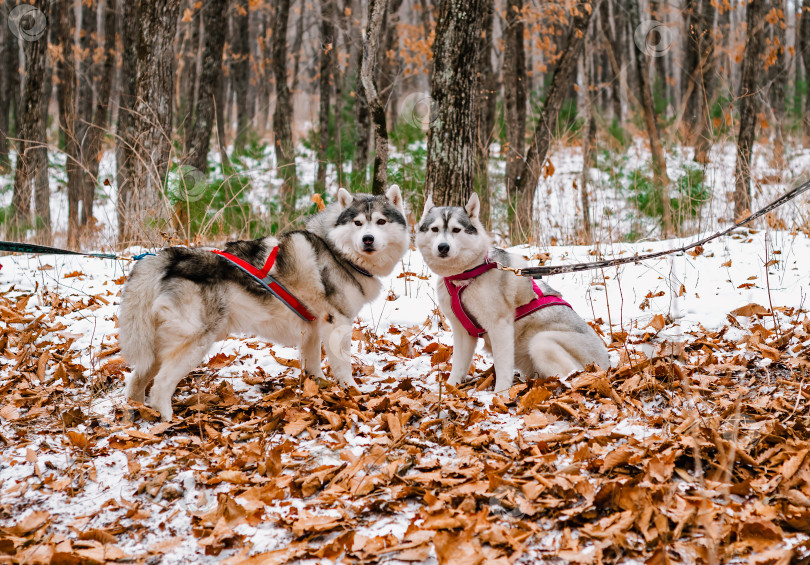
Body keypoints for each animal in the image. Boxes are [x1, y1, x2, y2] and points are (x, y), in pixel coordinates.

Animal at [118, 185, 410, 418]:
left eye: (381, 222)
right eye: (358, 223)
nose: (368, 240)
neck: (336, 251)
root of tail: (165, 258)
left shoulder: (313, 329)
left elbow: (313, 366)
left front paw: (319, 388)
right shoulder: (337, 323)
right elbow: (343, 365)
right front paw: (352, 393)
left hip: (157, 348)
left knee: (136, 381)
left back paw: (136, 416)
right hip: (194, 343)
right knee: (160, 387)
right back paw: (168, 422)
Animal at [416, 192, 608, 394]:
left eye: (456, 230)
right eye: (435, 229)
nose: (443, 247)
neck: (466, 275)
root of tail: (605, 366)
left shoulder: (499, 327)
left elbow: (502, 367)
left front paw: (500, 394)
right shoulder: (462, 331)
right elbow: (458, 365)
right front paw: (450, 388)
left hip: (542, 342)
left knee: (570, 376)